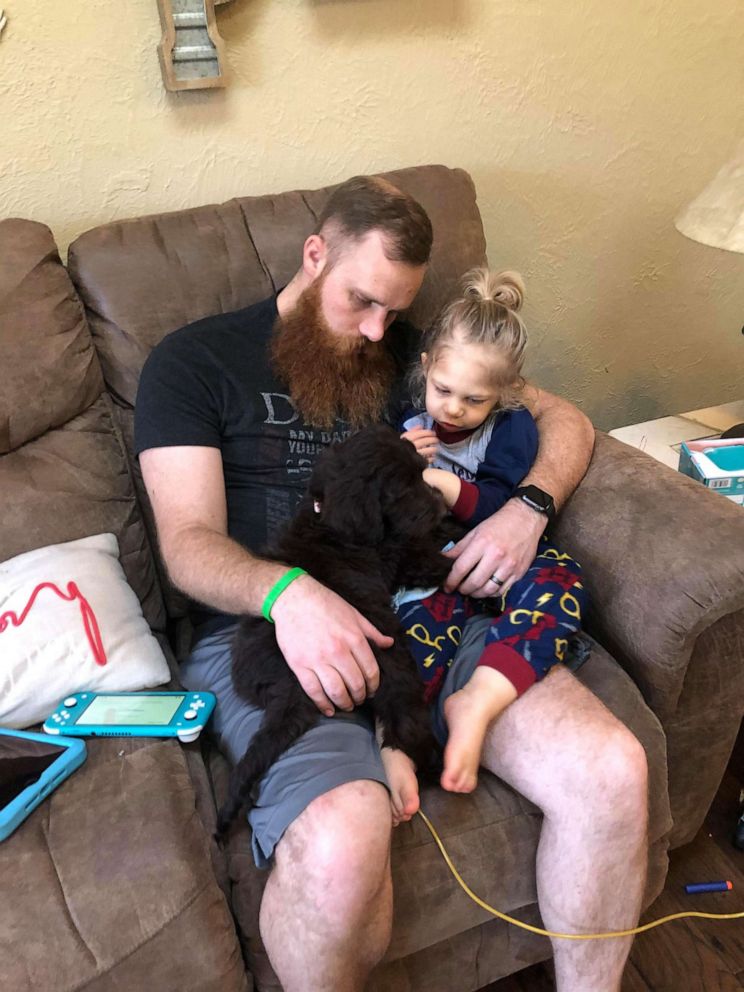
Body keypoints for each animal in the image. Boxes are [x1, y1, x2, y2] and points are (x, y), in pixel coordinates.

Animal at [217, 426, 460, 836]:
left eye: (420, 474)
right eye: (403, 488)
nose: (442, 508)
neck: (331, 523)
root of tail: (290, 684)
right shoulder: (401, 555)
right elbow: (438, 562)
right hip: (391, 656)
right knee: (404, 723)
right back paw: (435, 764)